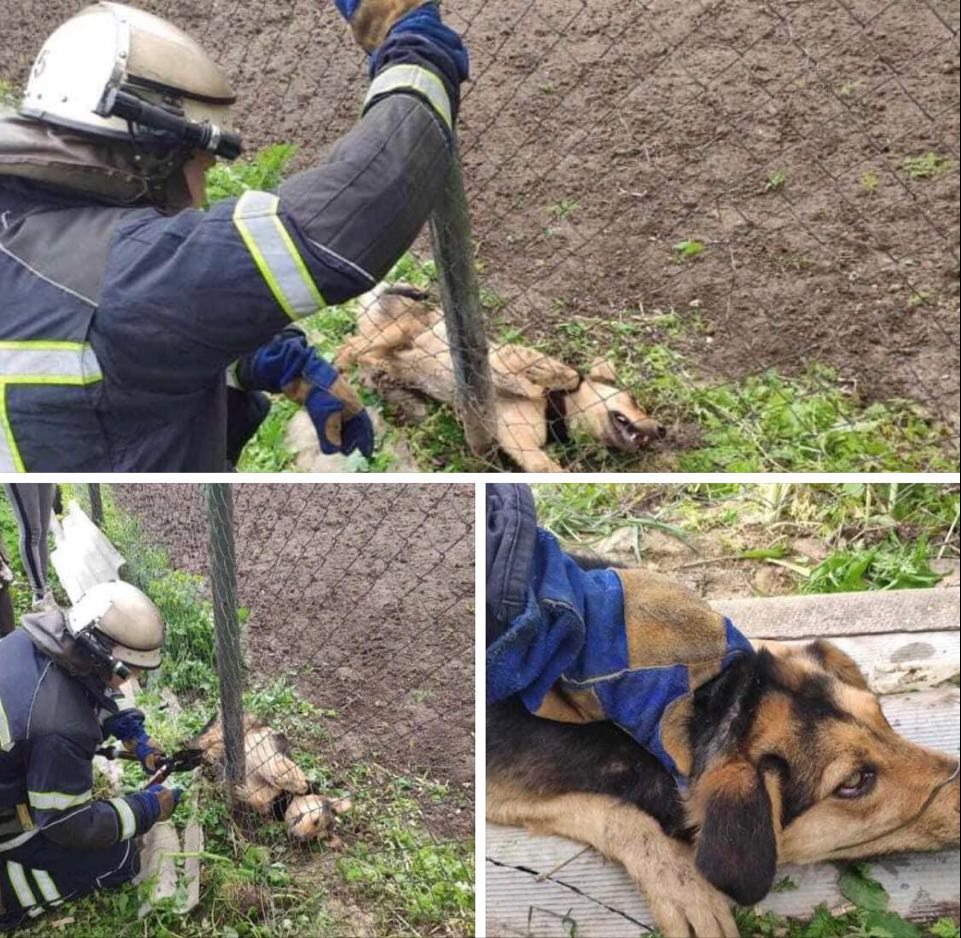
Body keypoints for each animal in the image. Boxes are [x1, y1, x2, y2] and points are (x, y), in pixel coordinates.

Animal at [193, 712, 350, 844]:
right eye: (317, 821)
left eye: (313, 838)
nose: (298, 838)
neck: (283, 800)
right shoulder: (271, 754)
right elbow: (298, 782)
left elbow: (260, 802)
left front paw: (248, 794)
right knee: (206, 740)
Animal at [488, 556, 960, 936]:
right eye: (856, 782)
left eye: (880, 716)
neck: (709, 701)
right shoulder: (504, 790)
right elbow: (619, 815)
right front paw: (684, 889)